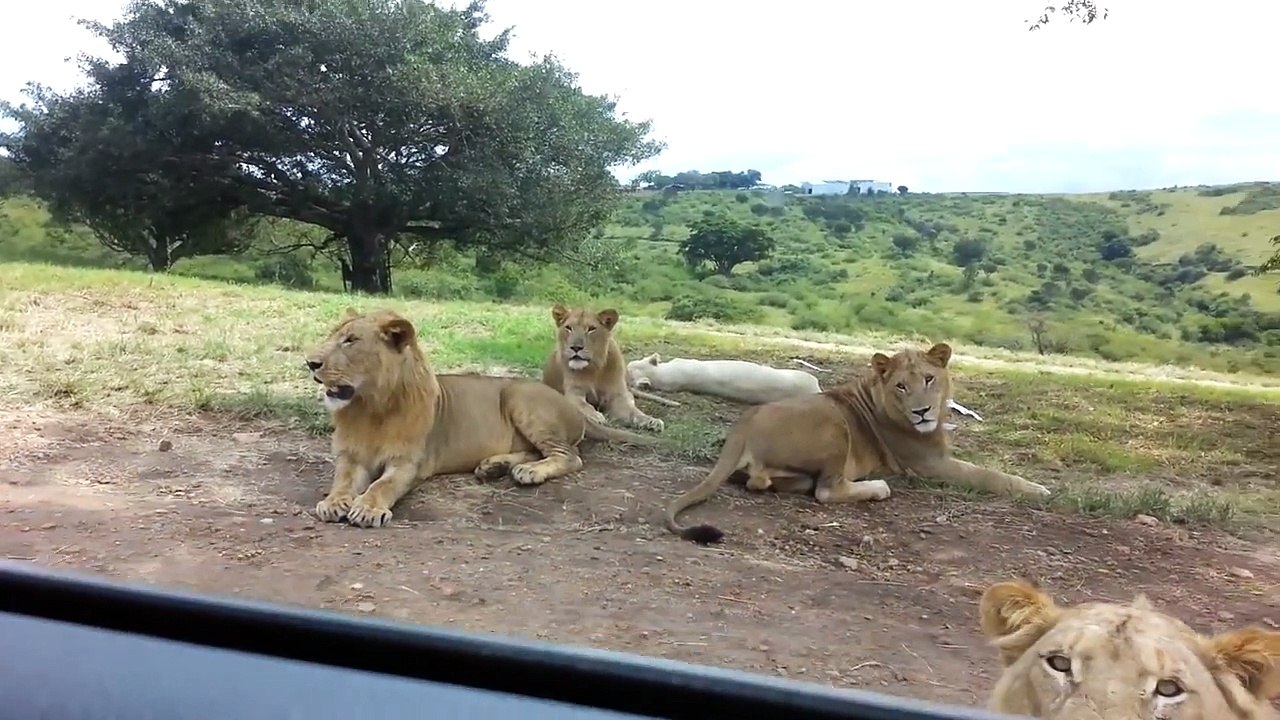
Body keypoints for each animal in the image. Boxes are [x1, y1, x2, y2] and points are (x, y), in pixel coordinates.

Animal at [304, 308, 656, 529]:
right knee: (536, 451)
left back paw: (528, 472)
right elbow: (342, 481)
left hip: (519, 396)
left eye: (351, 340)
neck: (370, 407)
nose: (310, 362)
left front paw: (367, 508)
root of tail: (567, 401)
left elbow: (382, 485)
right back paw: (496, 466)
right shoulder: (350, 457)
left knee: (569, 456)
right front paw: (334, 502)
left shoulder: (407, 464)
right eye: (332, 336)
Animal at [540, 304, 670, 432]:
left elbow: (634, 412)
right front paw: (595, 416)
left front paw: (651, 421)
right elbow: (584, 405)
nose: (576, 347)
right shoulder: (574, 393)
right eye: (568, 328)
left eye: (591, 329)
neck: (594, 368)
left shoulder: (616, 396)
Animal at [662, 342, 1051, 544]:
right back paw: (877, 487)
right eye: (901, 386)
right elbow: (989, 475)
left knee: (766, 482)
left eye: (929, 378)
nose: (922, 412)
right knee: (827, 490)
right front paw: (1039, 490)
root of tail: (743, 424)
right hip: (836, 425)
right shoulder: (929, 464)